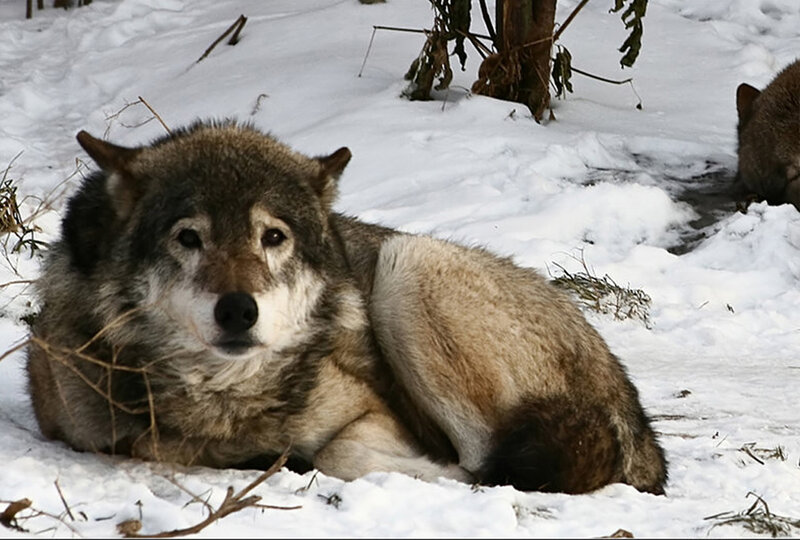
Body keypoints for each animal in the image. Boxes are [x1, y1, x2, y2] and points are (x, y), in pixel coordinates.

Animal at [27, 120, 667, 495]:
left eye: (273, 237)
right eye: (189, 238)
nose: (238, 311)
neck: (225, 399)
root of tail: (640, 424)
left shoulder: (375, 414)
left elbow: (342, 451)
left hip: (408, 264)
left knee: (493, 465)